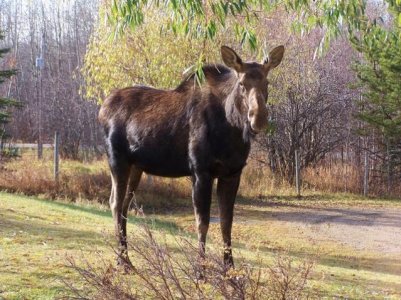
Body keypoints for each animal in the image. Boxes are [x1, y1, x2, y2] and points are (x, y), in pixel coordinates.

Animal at [98, 45, 282, 270]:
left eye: (267, 82)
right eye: (241, 84)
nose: (259, 117)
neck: (231, 128)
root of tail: (102, 109)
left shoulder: (232, 173)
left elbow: (226, 222)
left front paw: (230, 269)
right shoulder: (200, 171)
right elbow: (202, 223)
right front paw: (200, 269)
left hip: (136, 166)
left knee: (124, 204)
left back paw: (123, 258)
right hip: (117, 160)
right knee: (115, 202)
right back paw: (124, 260)